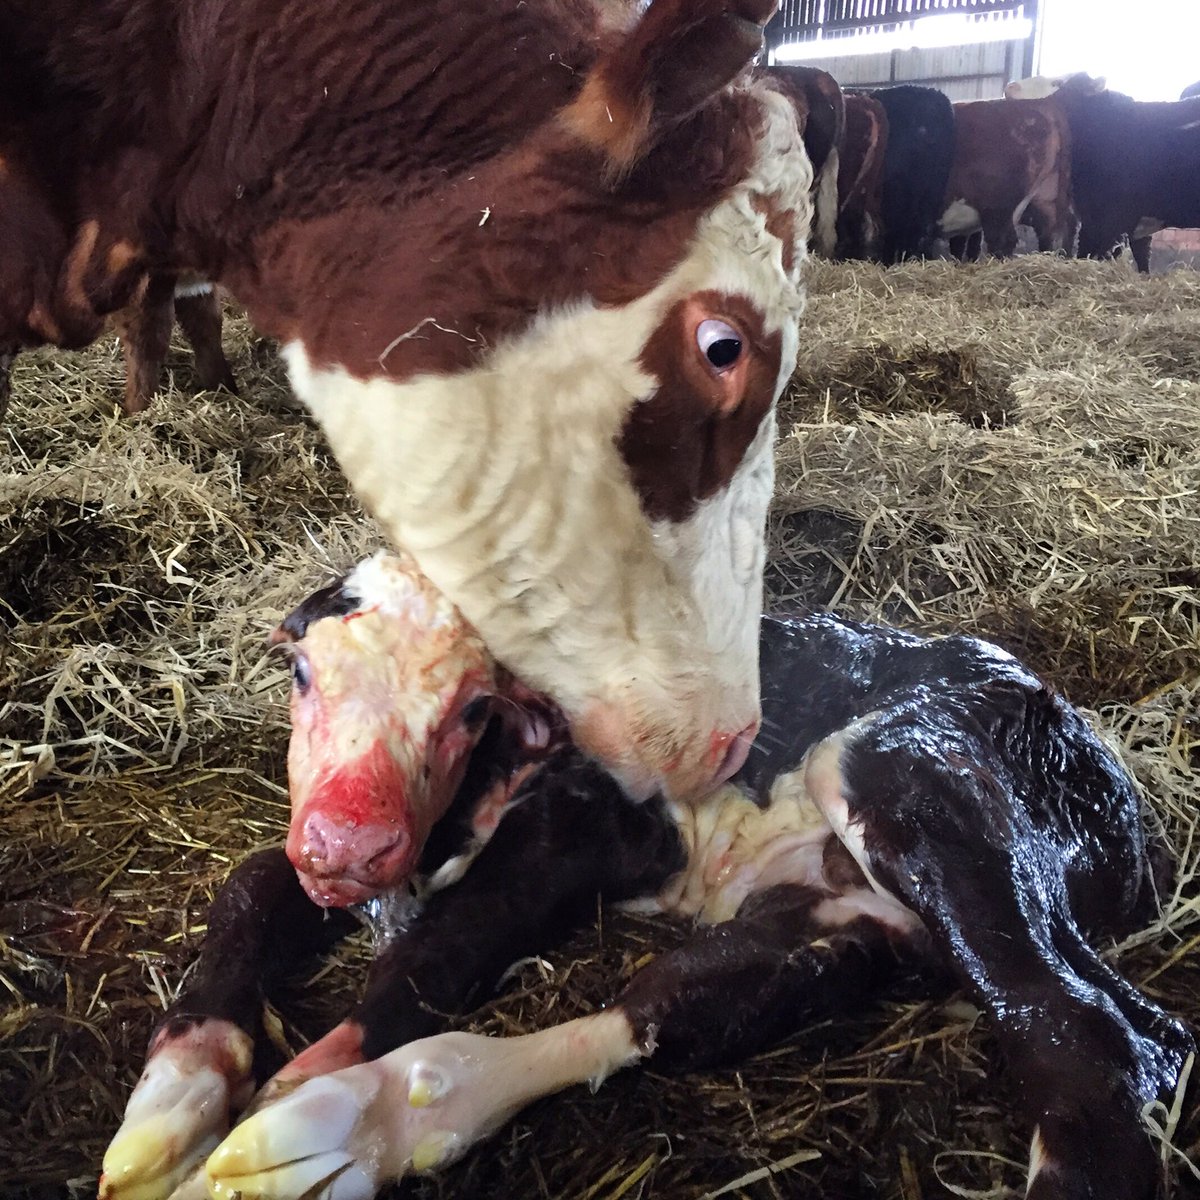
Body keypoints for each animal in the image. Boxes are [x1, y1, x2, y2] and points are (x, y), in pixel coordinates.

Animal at [101, 552, 1194, 1200]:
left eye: (470, 709)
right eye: (303, 676)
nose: (349, 842)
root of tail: (1132, 815)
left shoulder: (587, 838)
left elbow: (438, 955)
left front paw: (302, 1070)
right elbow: (250, 884)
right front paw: (177, 1094)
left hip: (912, 776)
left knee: (1102, 1029)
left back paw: (317, 1123)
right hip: (847, 914)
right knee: (680, 1002)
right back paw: (359, 1130)